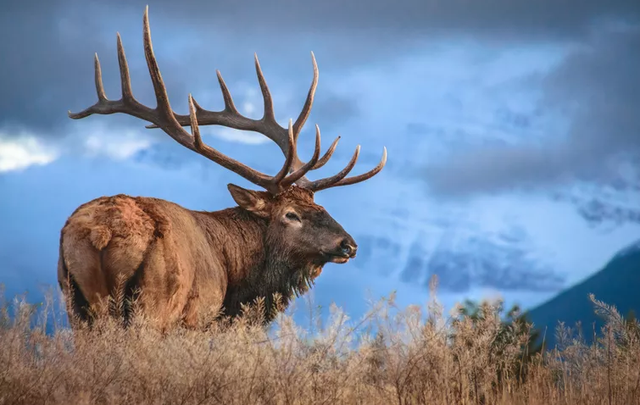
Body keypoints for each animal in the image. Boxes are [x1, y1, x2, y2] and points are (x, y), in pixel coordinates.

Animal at [60, 7, 388, 330]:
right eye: (291, 215)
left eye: (321, 208)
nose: (348, 245)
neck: (236, 281)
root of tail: (102, 233)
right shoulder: (196, 318)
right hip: (154, 304)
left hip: (75, 302)